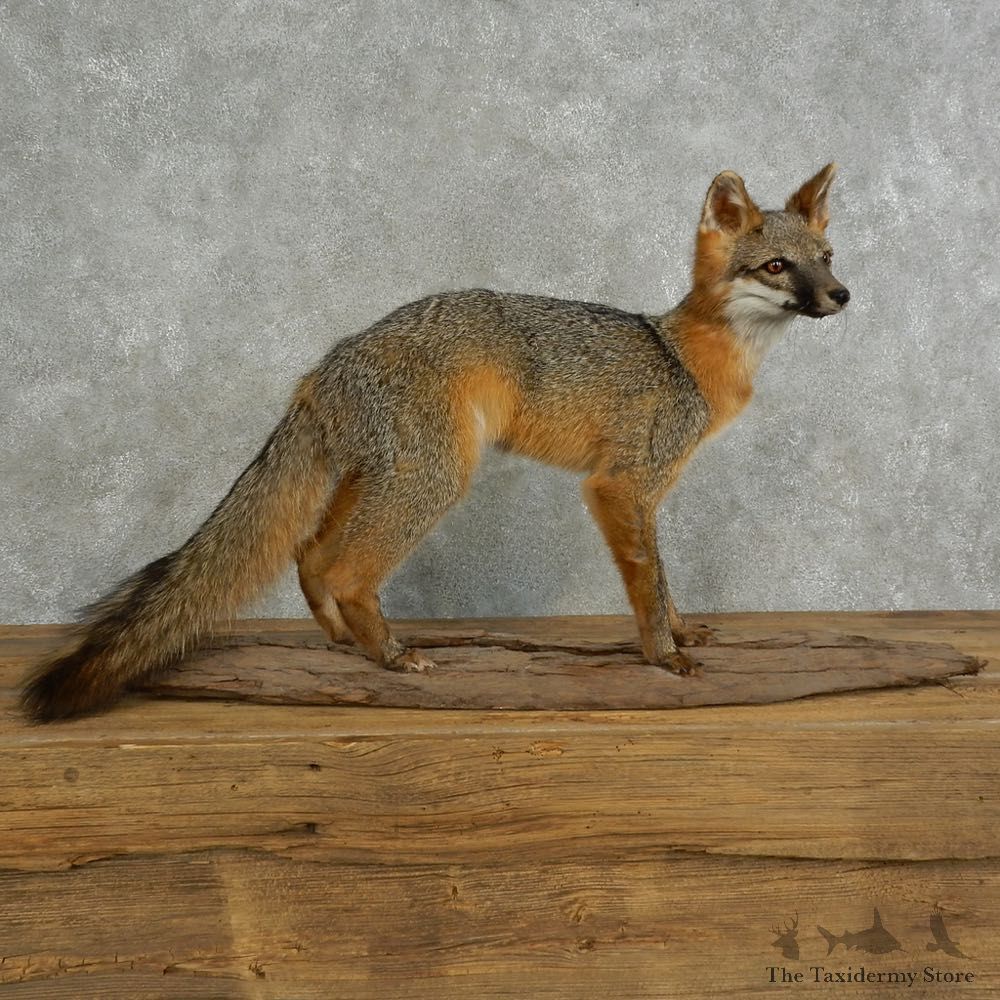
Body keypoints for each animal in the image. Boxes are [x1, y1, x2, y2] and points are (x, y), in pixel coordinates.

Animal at [21, 164, 849, 721]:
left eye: (827, 258)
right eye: (778, 266)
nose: (844, 296)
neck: (687, 355)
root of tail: (330, 359)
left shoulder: (643, 495)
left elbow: (667, 585)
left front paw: (679, 633)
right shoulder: (621, 486)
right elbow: (648, 584)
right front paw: (664, 657)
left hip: (385, 478)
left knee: (309, 556)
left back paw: (348, 645)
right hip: (434, 481)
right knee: (343, 567)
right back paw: (388, 654)